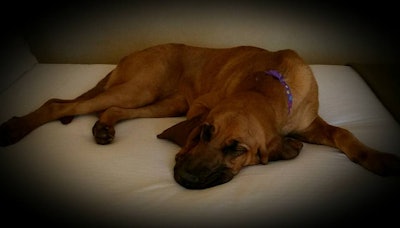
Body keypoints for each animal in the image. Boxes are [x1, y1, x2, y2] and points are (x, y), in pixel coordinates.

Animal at [0, 43, 400, 189]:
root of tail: (132, 54)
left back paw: (103, 129)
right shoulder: (198, 108)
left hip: (164, 102)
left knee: (108, 108)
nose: (188, 178)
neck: (266, 85)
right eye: (205, 132)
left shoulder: (310, 123)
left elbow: (344, 134)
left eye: (238, 149)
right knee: (59, 104)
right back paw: (16, 128)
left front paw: (377, 157)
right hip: (142, 89)